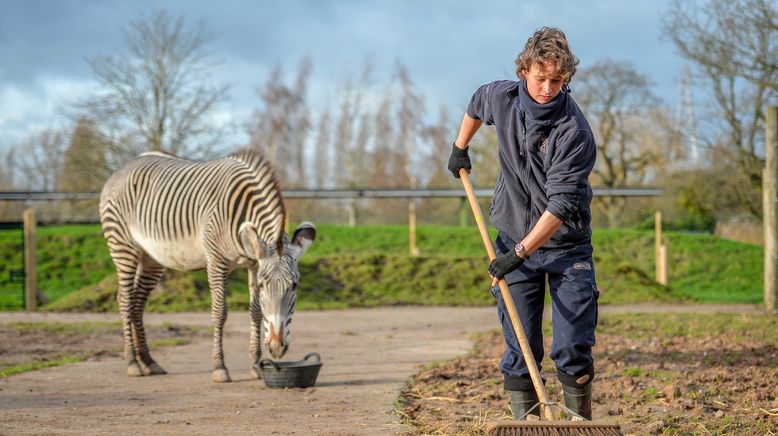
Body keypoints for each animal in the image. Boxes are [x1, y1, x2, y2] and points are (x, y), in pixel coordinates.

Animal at [98, 149, 314, 382]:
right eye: (264, 285)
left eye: (294, 286)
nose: (276, 347)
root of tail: (125, 166)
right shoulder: (216, 261)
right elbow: (219, 312)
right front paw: (220, 367)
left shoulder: (254, 265)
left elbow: (256, 312)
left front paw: (256, 366)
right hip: (122, 247)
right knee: (125, 301)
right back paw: (132, 363)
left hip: (151, 258)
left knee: (137, 302)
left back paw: (148, 362)